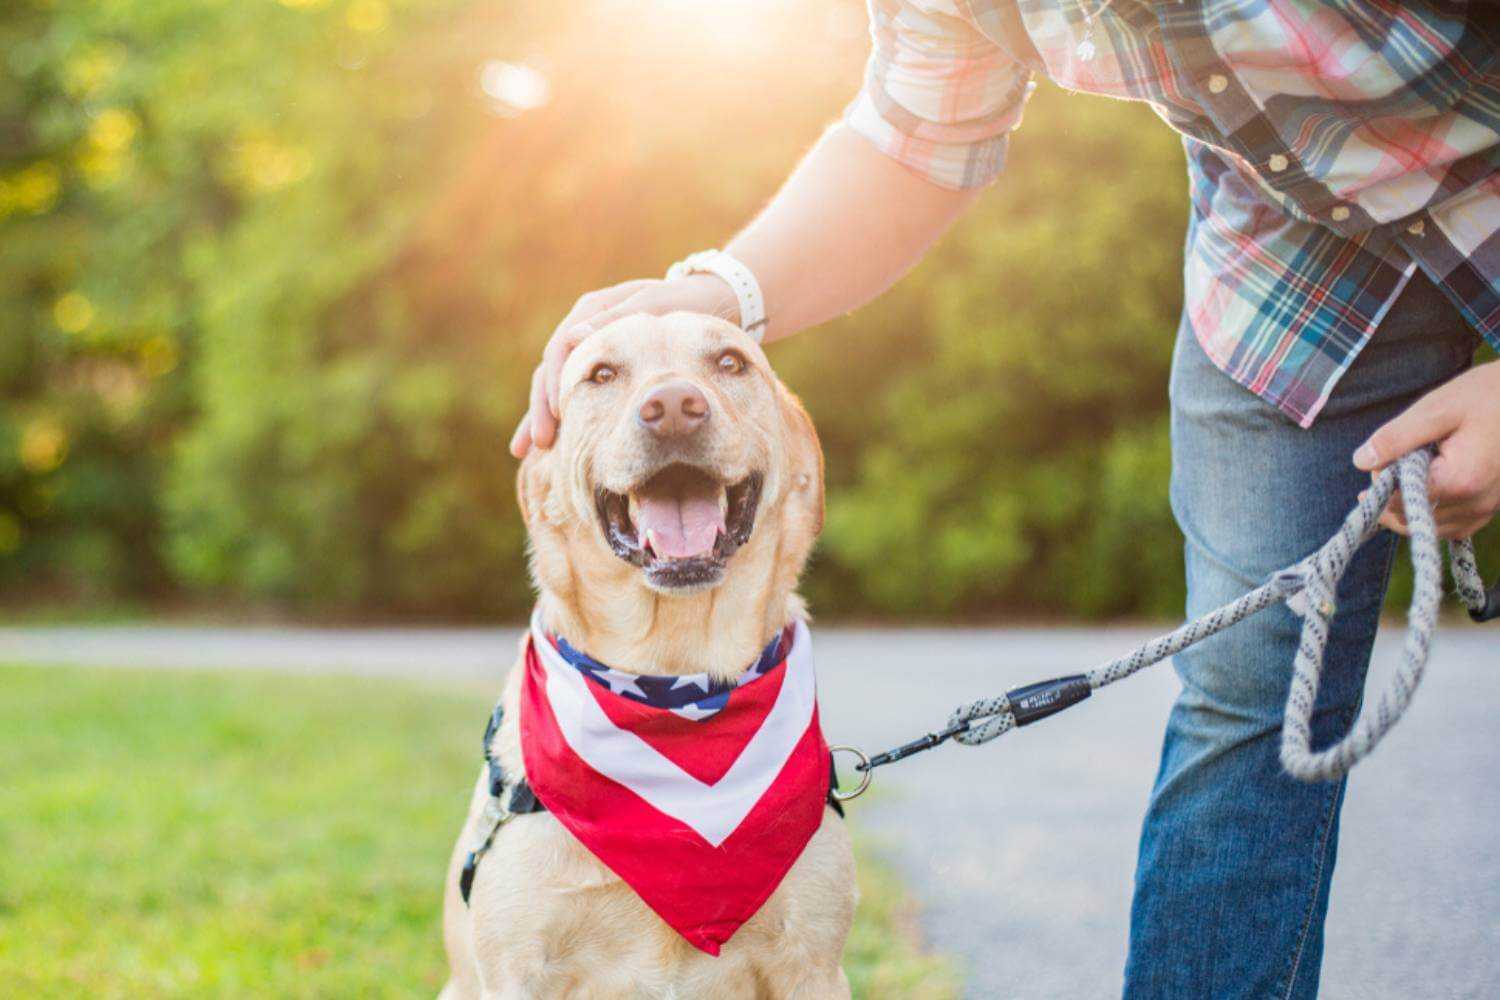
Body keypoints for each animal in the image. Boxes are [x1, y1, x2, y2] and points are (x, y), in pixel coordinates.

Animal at [438, 313, 852, 1000]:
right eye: (601, 374)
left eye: (732, 362)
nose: (674, 407)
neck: (673, 679)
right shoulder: (518, 970)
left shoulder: (813, 964)